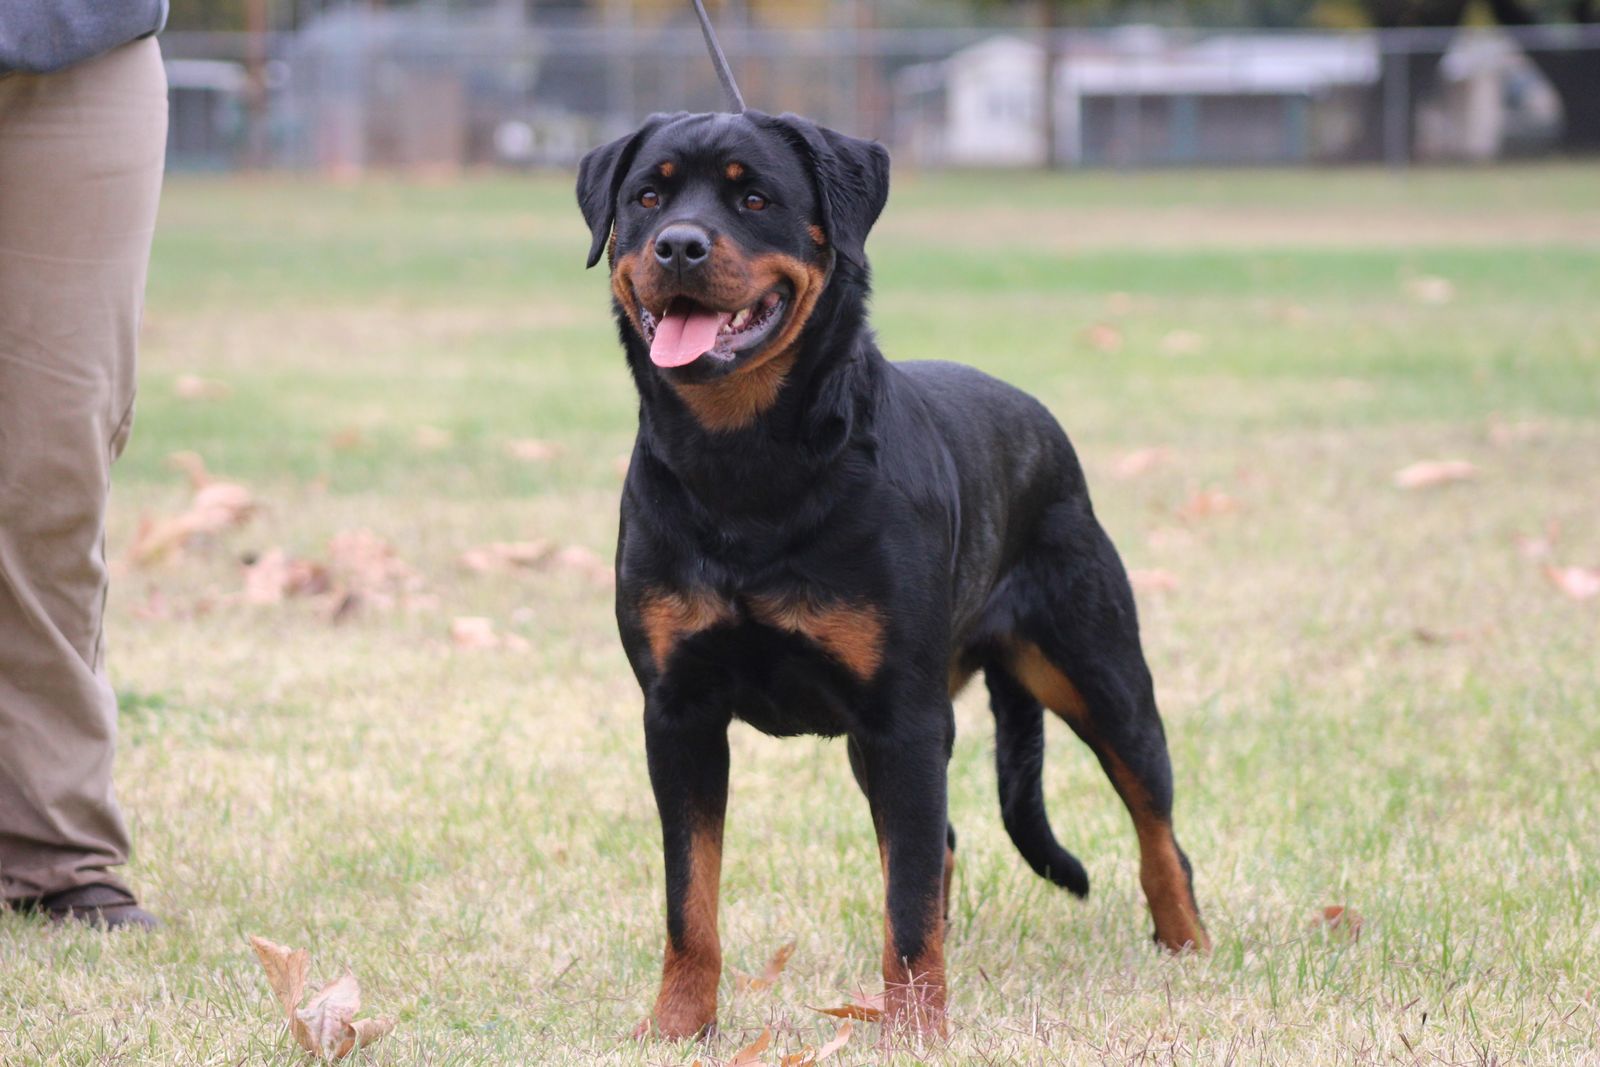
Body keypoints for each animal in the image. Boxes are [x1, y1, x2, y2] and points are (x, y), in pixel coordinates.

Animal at [577, 109, 1209, 1040]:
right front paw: (677, 1025)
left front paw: (916, 1031)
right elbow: (690, 896)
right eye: (647, 198)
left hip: (1100, 674)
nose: (679, 246)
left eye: (754, 198)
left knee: (1155, 824)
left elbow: (905, 896)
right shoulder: (679, 712)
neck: (745, 463)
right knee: (938, 846)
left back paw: (1187, 944)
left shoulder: (903, 717)